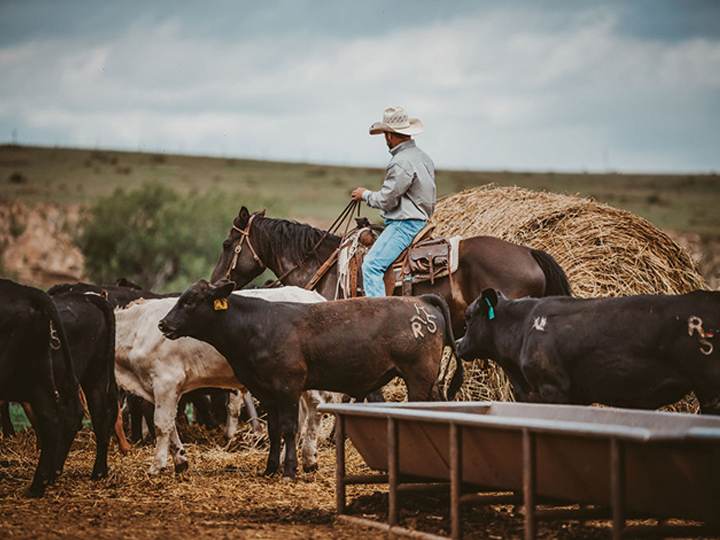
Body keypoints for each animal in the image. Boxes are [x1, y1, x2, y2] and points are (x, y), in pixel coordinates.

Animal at [158, 280, 464, 478]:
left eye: (189, 301)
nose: (163, 323)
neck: (258, 324)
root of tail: (421, 301)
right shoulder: (267, 392)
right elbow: (274, 431)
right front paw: (270, 469)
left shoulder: (288, 386)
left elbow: (290, 428)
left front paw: (289, 470)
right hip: (430, 381)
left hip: (419, 377)